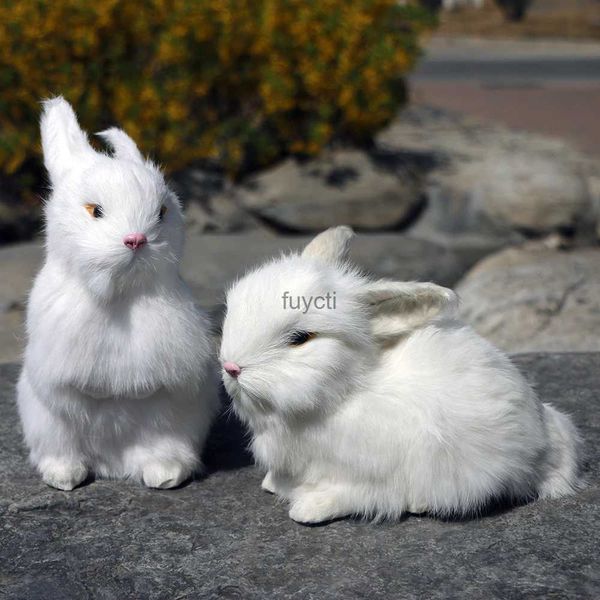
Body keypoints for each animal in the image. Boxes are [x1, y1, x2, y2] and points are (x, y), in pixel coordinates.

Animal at [15, 98, 218, 490]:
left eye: (161, 212)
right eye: (95, 211)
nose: (135, 239)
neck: (119, 294)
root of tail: (112, 465)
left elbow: (151, 382)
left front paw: (132, 391)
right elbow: (82, 386)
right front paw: (103, 393)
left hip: (173, 428)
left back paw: (164, 475)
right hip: (49, 427)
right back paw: (65, 476)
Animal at [220, 227, 580, 524]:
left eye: (300, 338)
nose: (231, 367)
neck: (342, 394)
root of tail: (549, 435)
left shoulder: (375, 475)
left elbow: (356, 495)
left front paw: (308, 509)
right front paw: (273, 484)